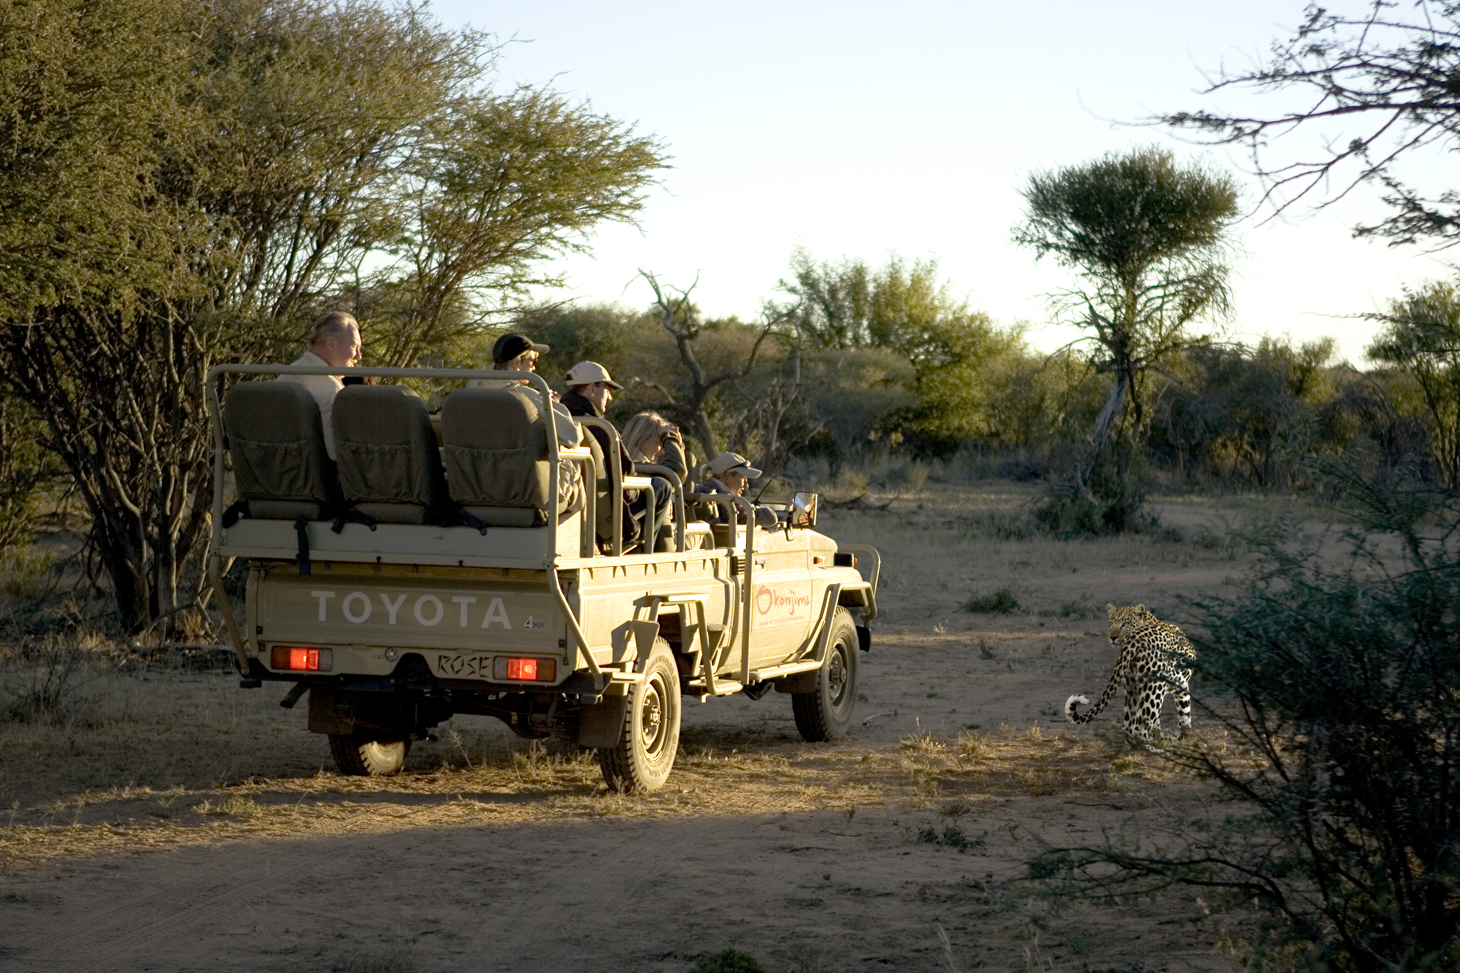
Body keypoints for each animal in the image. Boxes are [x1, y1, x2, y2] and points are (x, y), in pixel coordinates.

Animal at [1064, 603, 1195, 750]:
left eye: (1125, 624)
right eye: (1111, 623)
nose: (1112, 637)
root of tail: (1135, 638)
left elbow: (1182, 715)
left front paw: (1181, 737)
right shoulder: (1178, 685)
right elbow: (1181, 715)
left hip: (1133, 689)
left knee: (1127, 728)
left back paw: (1140, 745)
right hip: (1155, 688)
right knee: (1141, 729)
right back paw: (1156, 750)